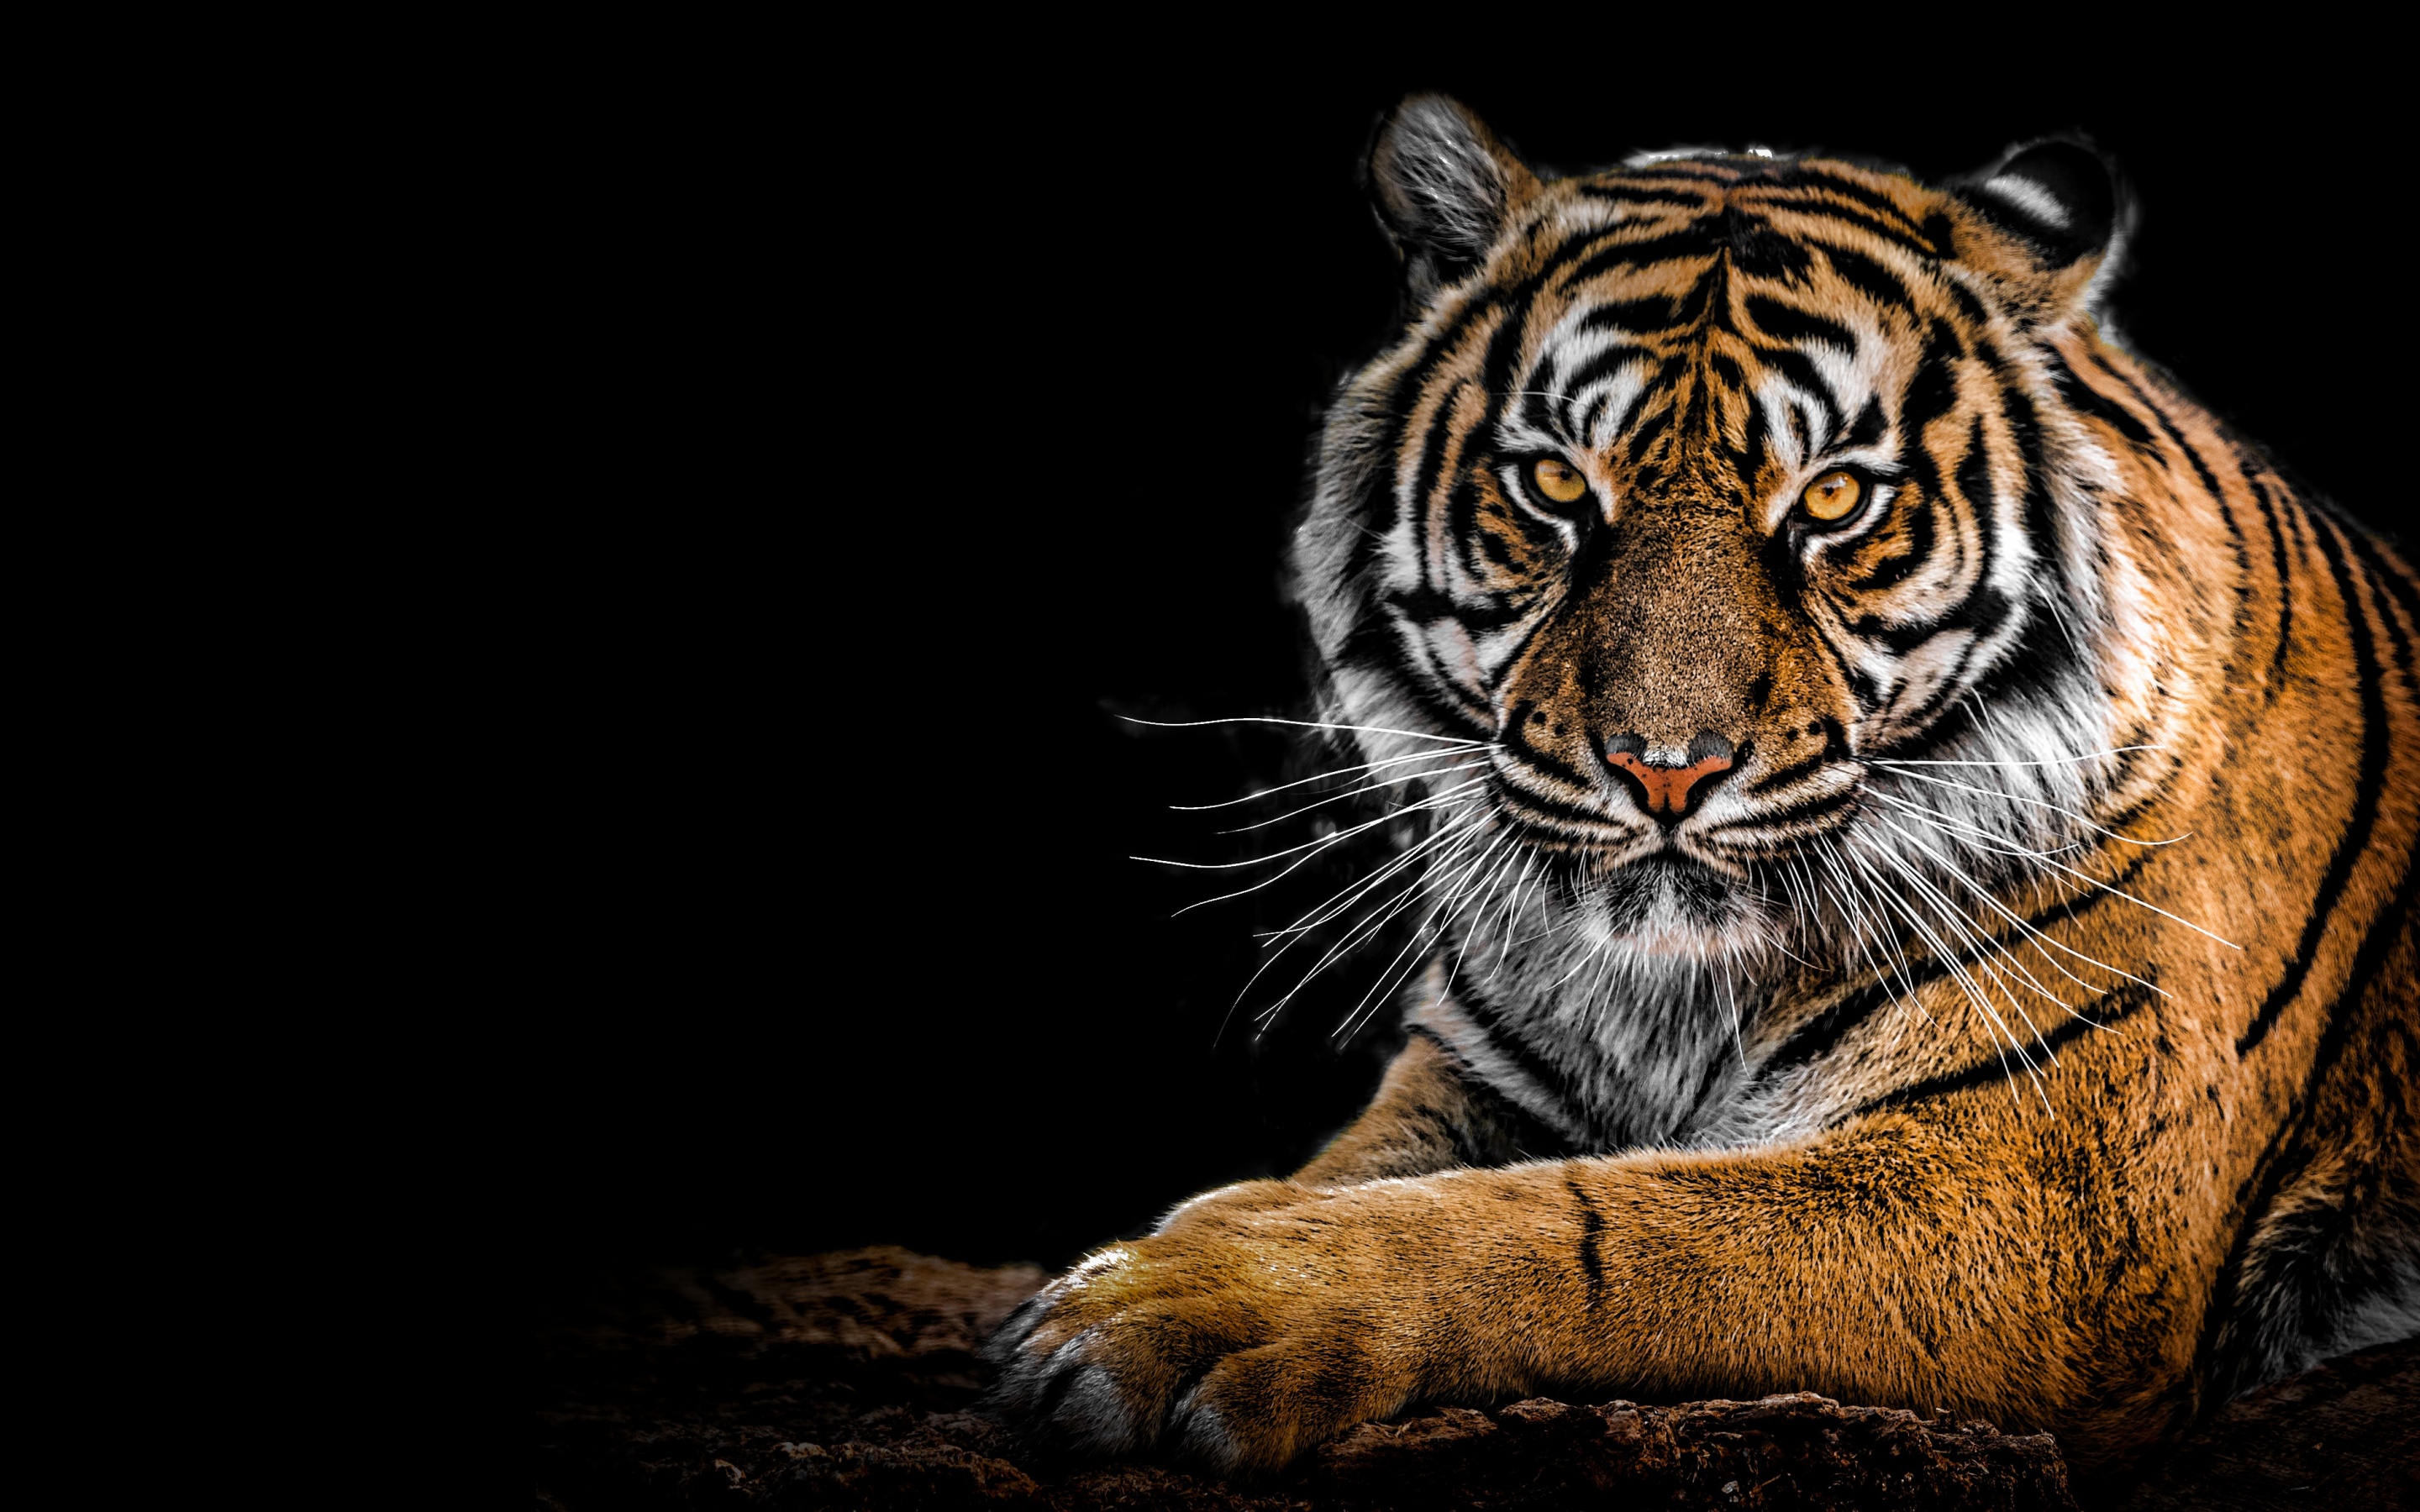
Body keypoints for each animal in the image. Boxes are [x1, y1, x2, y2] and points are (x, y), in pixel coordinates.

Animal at [985, 95, 2420, 1490]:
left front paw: (1178, 1310)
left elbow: (1587, 1228)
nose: (1663, 768)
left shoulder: (2036, 1203)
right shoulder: (1477, 1080)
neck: (1669, 995)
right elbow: (1355, 1175)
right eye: (1554, 484)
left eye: (1834, 499)